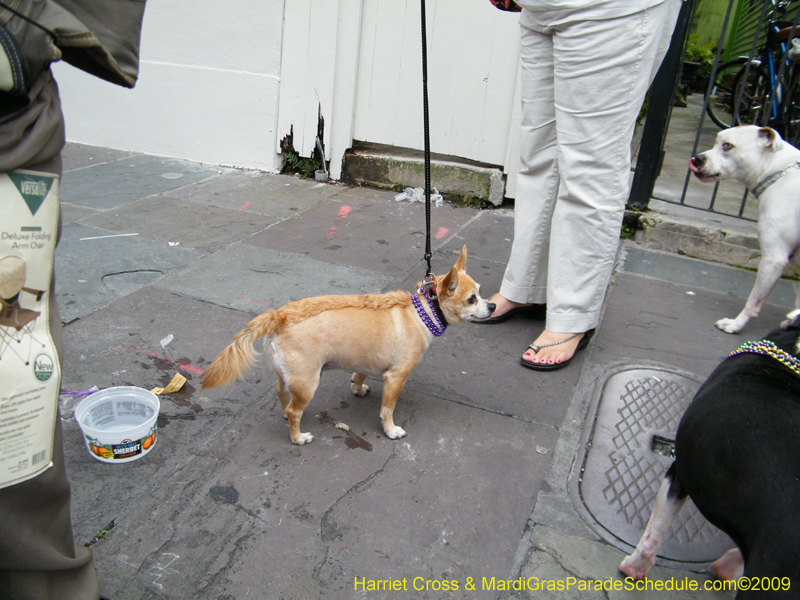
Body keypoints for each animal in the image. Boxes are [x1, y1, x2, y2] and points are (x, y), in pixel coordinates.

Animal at [688, 126, 800, 332]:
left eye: (728, 146)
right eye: (716, 141)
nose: (698, 158)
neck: (777, 169)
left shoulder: (774, 259)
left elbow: (753, 301)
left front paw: (735, 325)